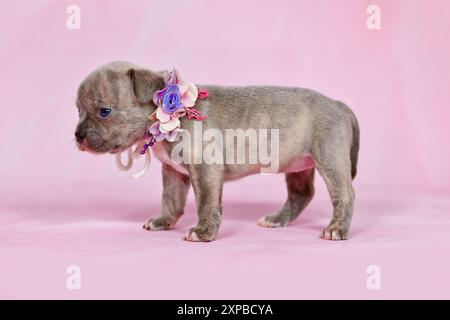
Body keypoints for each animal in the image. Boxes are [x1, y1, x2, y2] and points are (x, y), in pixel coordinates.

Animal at [75, 61, 360, 241]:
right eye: (78, 109)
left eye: (105, 111)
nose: (77, 135)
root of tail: (339, 104)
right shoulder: (173, 173)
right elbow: (171, 199)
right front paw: (164, 221)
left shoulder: (205, 170)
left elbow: (205, 203)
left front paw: (203, 232)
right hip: (297, 164)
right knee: (302, 194)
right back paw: (278, 218)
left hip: (330, 160)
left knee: (344, 194)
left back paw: (336, 228)